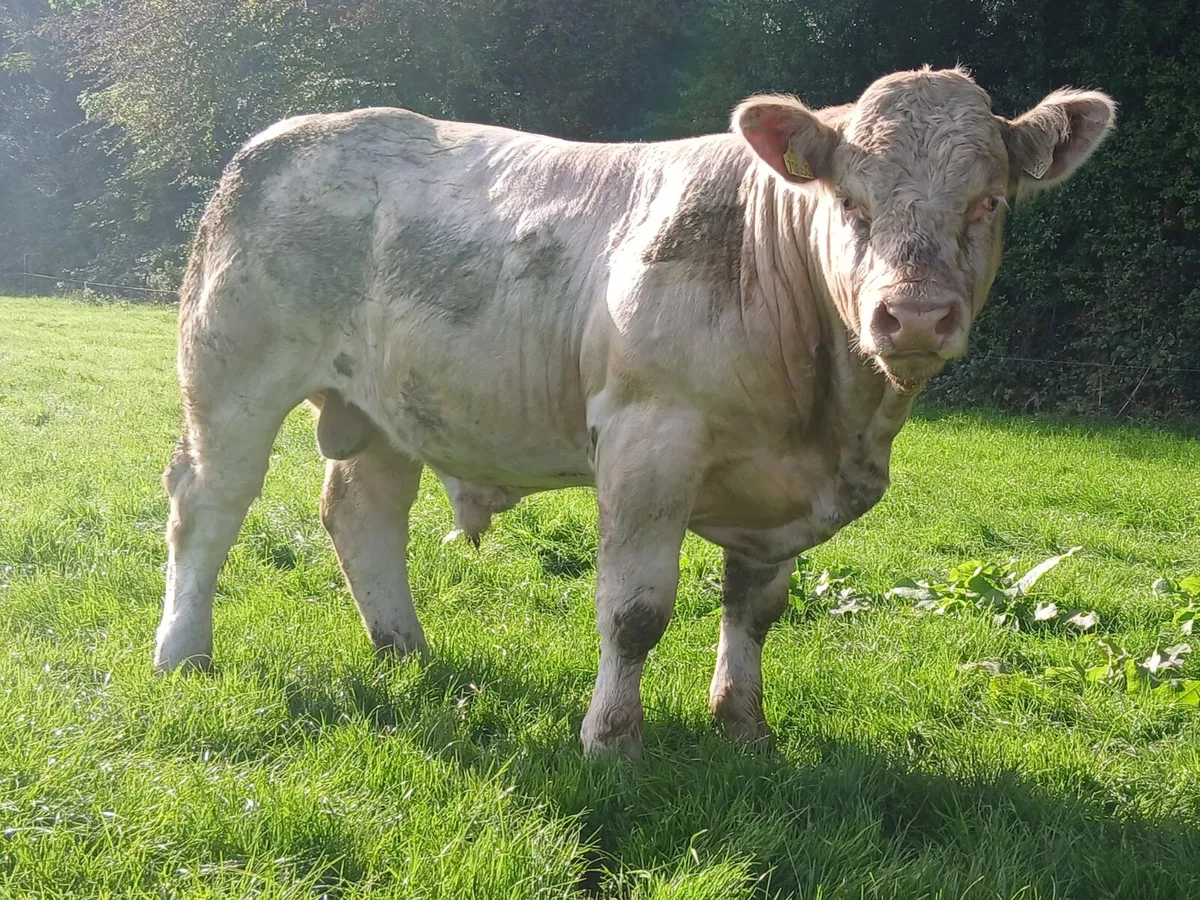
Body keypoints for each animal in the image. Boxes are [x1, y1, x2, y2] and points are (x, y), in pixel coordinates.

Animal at [153, 66, 1115, 757]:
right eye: (851, 202)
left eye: (989, 201)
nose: (912, 316)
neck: (832, 420)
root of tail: (284, 133)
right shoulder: (648, 441)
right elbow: (635, 610)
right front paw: (612, 740)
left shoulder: (775, 492)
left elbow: (754, 609)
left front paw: (743, 727)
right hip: (232, 370)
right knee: (207, 504)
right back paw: (182, 653)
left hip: (386, 404)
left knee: (362, 512)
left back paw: (405, 652)